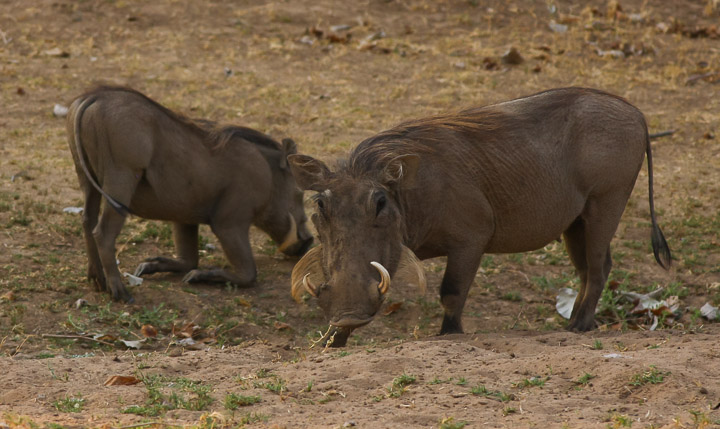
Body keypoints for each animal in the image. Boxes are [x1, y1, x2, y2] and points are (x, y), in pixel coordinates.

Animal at [67, 86, 313, 303]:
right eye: (299, 192)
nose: (308, 242)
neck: (268, 175)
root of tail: (93, 97)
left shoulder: (184, 216)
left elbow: (188, 259)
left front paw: (149, 266)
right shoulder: (229, 222)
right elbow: (248, 274)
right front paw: (198, 277)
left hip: (85, 175)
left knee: (87, 221)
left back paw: (98, 281)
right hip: (120, 178)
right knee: (103, 232)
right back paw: (120, 293)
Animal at [288, 87, 671, 346]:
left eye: (380, 203)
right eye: (320, 206)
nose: (349, 312)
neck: (411, 193)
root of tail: (637, 113)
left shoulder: (471, 238)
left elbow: (452, 292)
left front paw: (449, 335)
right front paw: (329, 344)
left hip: (606, 204)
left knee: (599, 267)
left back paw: (577, 328)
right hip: (574, 224)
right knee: (586, 270)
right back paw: (574, 324)